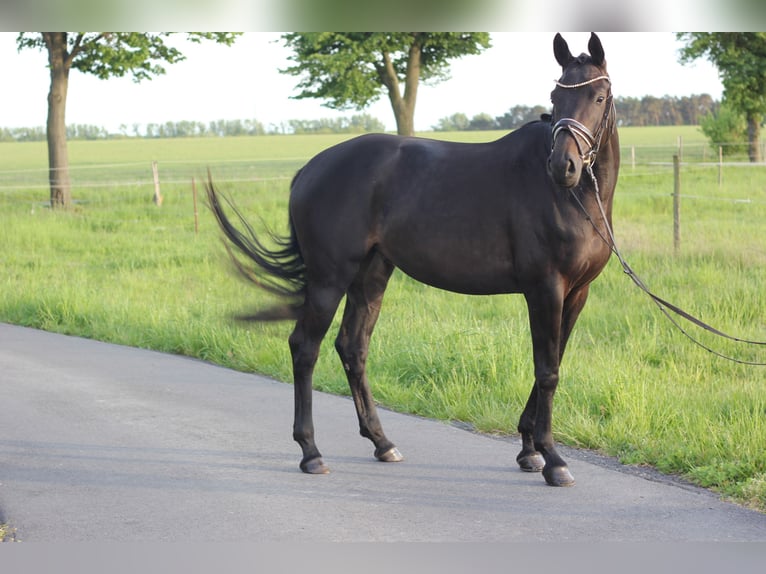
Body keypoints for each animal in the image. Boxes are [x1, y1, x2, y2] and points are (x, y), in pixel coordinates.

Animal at [207, 33, 620, 488]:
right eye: (555, 96)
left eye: (599, 96)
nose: (563, 166)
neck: (571, 198)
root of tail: (310, 169)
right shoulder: (545, 288)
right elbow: (547, 370)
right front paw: (552, 458)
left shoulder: (577, 292)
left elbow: (553, 362)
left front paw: (529, 449)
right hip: (329, 278)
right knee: (305, 348)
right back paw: (311, 452)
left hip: (371, 274)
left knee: (352, 347)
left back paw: (382, 442)